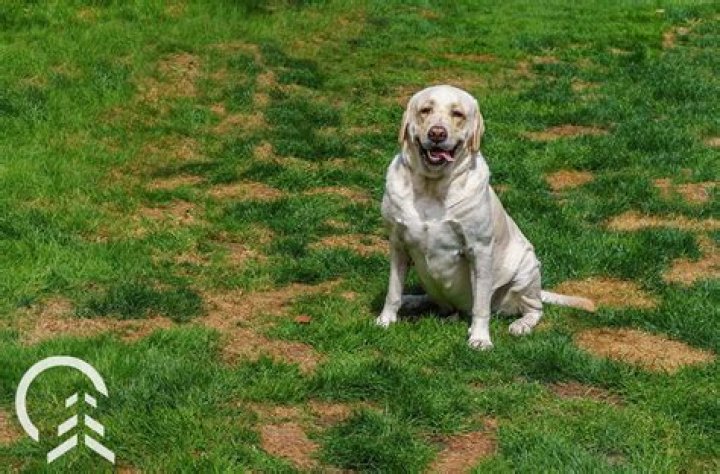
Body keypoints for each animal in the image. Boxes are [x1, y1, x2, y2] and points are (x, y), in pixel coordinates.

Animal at [376, 85, 595, 349]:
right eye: (425, 110)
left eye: (457, 114)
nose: (437, 133)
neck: (432, 187)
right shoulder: (397, 244)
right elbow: (393, 291)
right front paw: (385, 320)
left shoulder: (479, 250)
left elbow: (481, 305)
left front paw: (480, 338)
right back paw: (413, 300)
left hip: (527, 269)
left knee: (534, 309)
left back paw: (520, 325)